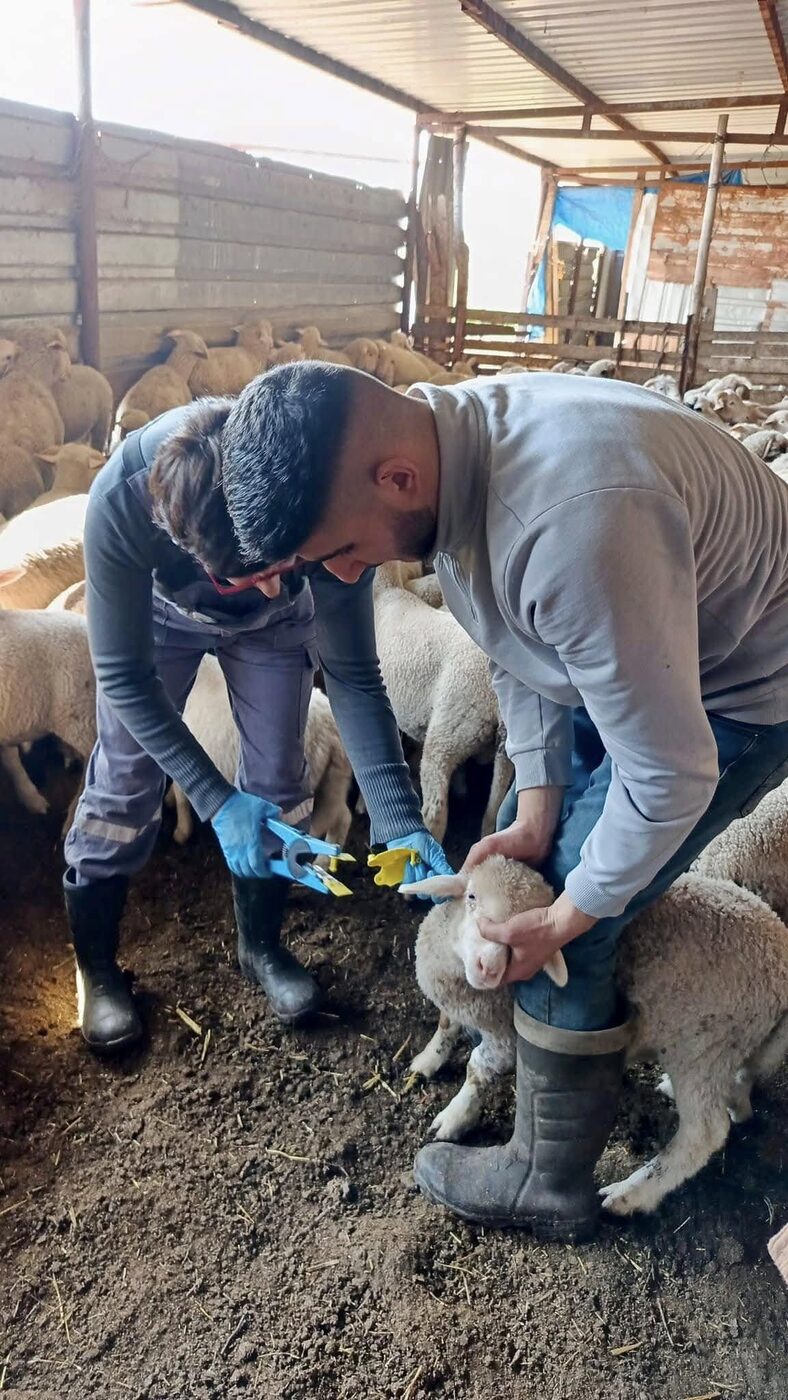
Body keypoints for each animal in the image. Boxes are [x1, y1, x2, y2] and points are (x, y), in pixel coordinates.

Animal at [405, 851, 788, 1215]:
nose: (489, 967)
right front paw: (428, 1059)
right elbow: (446, 1023)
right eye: (471, 896)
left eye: (521, 937)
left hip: (700, 1047)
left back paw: (631, 1194)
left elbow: (477, 1069)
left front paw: (454, 1117)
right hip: (730, 1045)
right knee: (740, 1082)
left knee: (704, 1132)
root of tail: (780, 957)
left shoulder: (505, 1036)